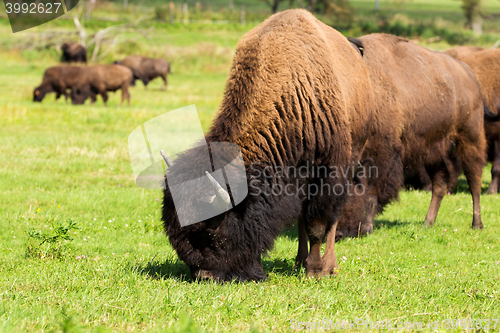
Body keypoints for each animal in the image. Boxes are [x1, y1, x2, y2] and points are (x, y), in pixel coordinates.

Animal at [160, 9, 376, 282]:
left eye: (211, 230)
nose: (204, 275)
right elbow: (302, 220)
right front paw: (303, 264)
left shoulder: (326, 174)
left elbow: (318, 225)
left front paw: (315, 271)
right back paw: (298, 262)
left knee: (330, 220)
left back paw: (327, 266)